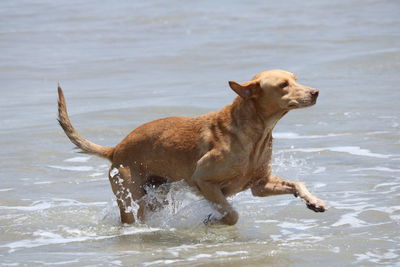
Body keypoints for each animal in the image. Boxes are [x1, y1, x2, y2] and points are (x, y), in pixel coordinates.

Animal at [59, 69, 326, 226]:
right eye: (283, 85)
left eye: (296, 80)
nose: (316, 92)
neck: (256, 132)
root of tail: (115, 149)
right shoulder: (204, 181)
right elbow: (231, 214)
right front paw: (214, 220)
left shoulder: (260, 185)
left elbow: (297, 183)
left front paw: (313, 201)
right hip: (128, 195)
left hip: (157, 195)